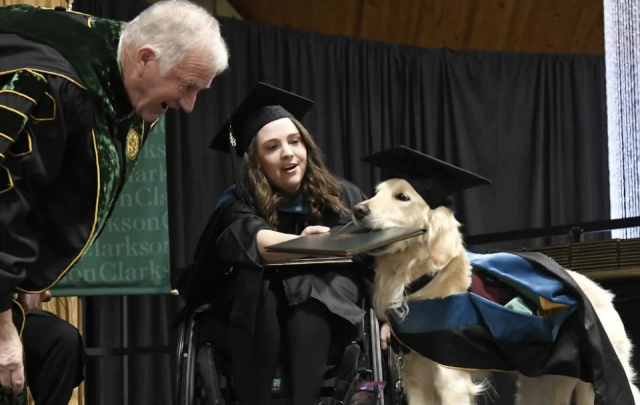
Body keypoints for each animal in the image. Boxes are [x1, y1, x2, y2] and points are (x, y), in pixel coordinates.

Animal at [352, 144, 636, 404]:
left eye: (402, 197)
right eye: (376, 193)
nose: (358, 210)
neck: (420, 278)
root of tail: (602, 292)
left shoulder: (451, 375)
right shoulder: (415, 376)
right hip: (546, 382)